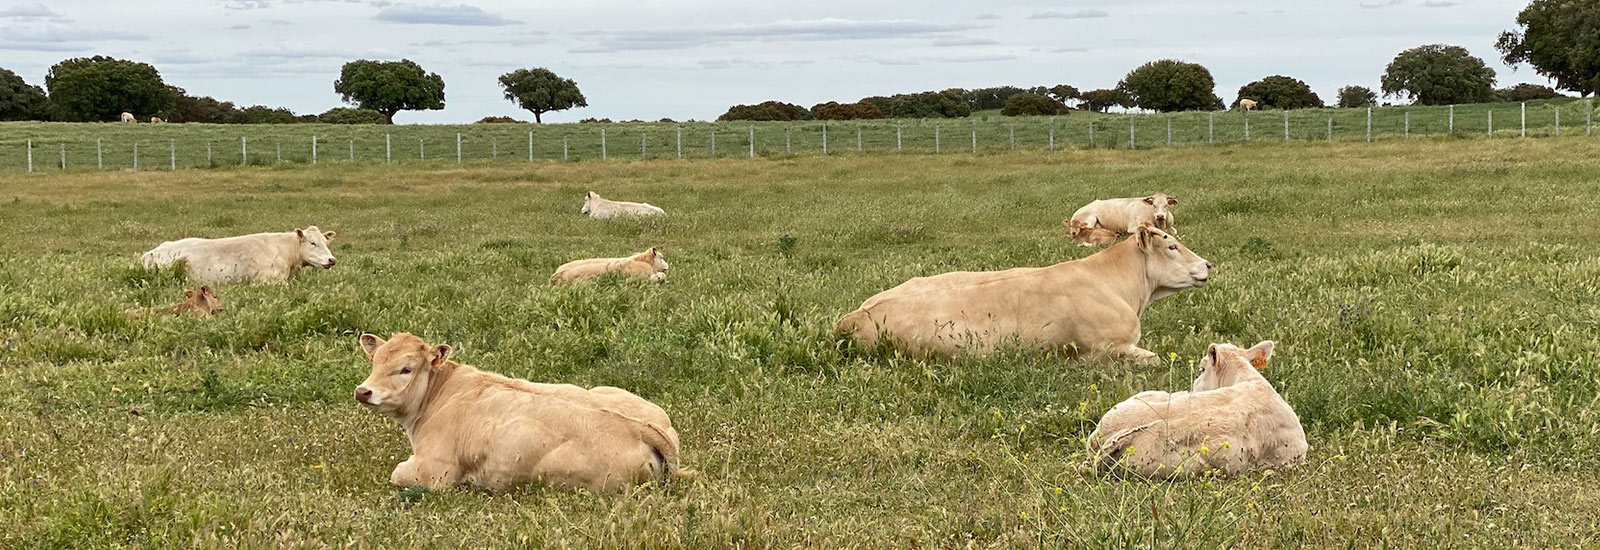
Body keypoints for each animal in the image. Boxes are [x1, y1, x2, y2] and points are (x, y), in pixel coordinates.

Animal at [353, 332, 684, 492]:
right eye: (375, 362)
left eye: (406, 369)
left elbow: (397, 473)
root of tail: (639, 425)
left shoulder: (433, 472)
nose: (362, 391)